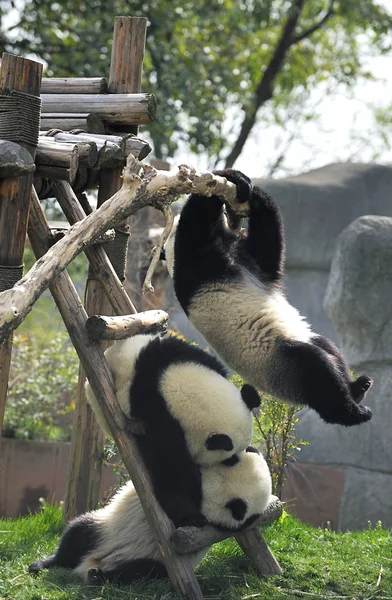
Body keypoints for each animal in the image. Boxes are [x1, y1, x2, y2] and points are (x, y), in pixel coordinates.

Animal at [28, 448, 272, 584]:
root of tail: (96, 560)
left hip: (150, 560)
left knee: (143, 572)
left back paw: (98, 576)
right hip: (104, 528)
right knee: (77, 534)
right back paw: (44, 565)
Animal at [85, 336, 260, 528]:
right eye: (230, 456)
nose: (246, 455)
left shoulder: (179, 354)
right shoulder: (162, 422)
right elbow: (168, 467)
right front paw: (191, 516)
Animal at [163, 169, 374, 428]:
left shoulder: (250, 261)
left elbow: (267, 246)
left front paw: (245, 187)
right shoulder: (198, 265)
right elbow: (197, 222)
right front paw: (221, 182)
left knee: (326, 347)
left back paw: (357, 387)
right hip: (281, 365)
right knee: (316, 371)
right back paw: (352, 411)